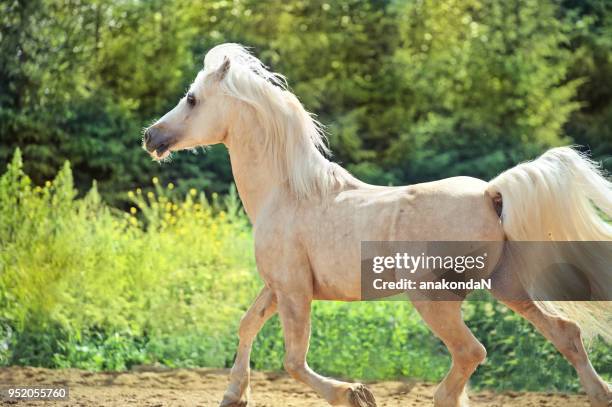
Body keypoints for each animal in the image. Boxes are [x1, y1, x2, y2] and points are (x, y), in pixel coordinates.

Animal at [145, 44, 612, 407]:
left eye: (192, 99)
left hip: (434, 299)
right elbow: (248, 326)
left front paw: (352, 393)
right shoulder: (278, 286)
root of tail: (491, 194)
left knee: (470, 352)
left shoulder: (294, 291)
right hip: (505, 286)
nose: (151, 136)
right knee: (566, 334)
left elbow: (293, 360)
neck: (287, 192)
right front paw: (233, 395)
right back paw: (599, 393)